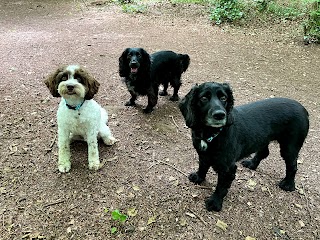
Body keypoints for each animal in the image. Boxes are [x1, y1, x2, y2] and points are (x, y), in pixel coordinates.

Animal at [179, 81, 308, 211]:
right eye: (204, 98)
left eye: (223, 98)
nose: (220, 115)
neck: (212, 133)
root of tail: (303, 109)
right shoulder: (203, 155)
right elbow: (202, 167)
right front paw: (198, 178)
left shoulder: (228, 168)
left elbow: (221, 187)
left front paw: (215, 202)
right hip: (263, 139)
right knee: (263, 152)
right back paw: (251, 164)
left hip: (289, 147)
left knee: (292, 165)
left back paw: (288, 185)